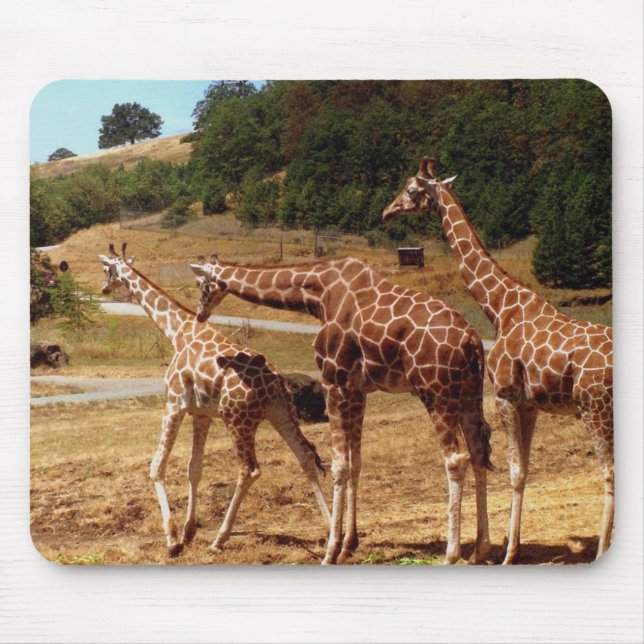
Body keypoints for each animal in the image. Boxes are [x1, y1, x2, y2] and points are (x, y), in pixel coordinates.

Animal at [99, 244, 330, 557]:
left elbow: (157, 466)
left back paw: (220, 539)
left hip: (237, 419)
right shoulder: (201, 413)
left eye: (106, 269)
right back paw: (332, 530)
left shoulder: (174, 403)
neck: (177, 332)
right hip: (282, 413)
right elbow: (194, 468)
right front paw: (189, 531)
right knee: (305, 456)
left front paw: (172, 538)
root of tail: (277, 383)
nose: (103, 288)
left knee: (250, 469)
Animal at [190, 254, 494, 565]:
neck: (317, 294)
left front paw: (330, 550)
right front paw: (350, 543)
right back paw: (481, 549)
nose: (200, 314)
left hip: (436, 394)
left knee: (455, 459)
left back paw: (451, 553)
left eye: (201, 283)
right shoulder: (358, 390)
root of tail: (472, 341)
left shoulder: (332, 382)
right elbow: (355, 462)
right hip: (470, 395)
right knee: (478, 453)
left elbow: (339, 465)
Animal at [383, 158, 614, 563]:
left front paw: (507, 553)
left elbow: (514, 470)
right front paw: (508, 546)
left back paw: (601, 552)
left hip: (594, 407)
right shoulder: (530, 404)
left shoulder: (505, 395)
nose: (387, 210)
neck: (501, 306)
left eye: (411, 189)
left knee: (609, 472)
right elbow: (525, 470)